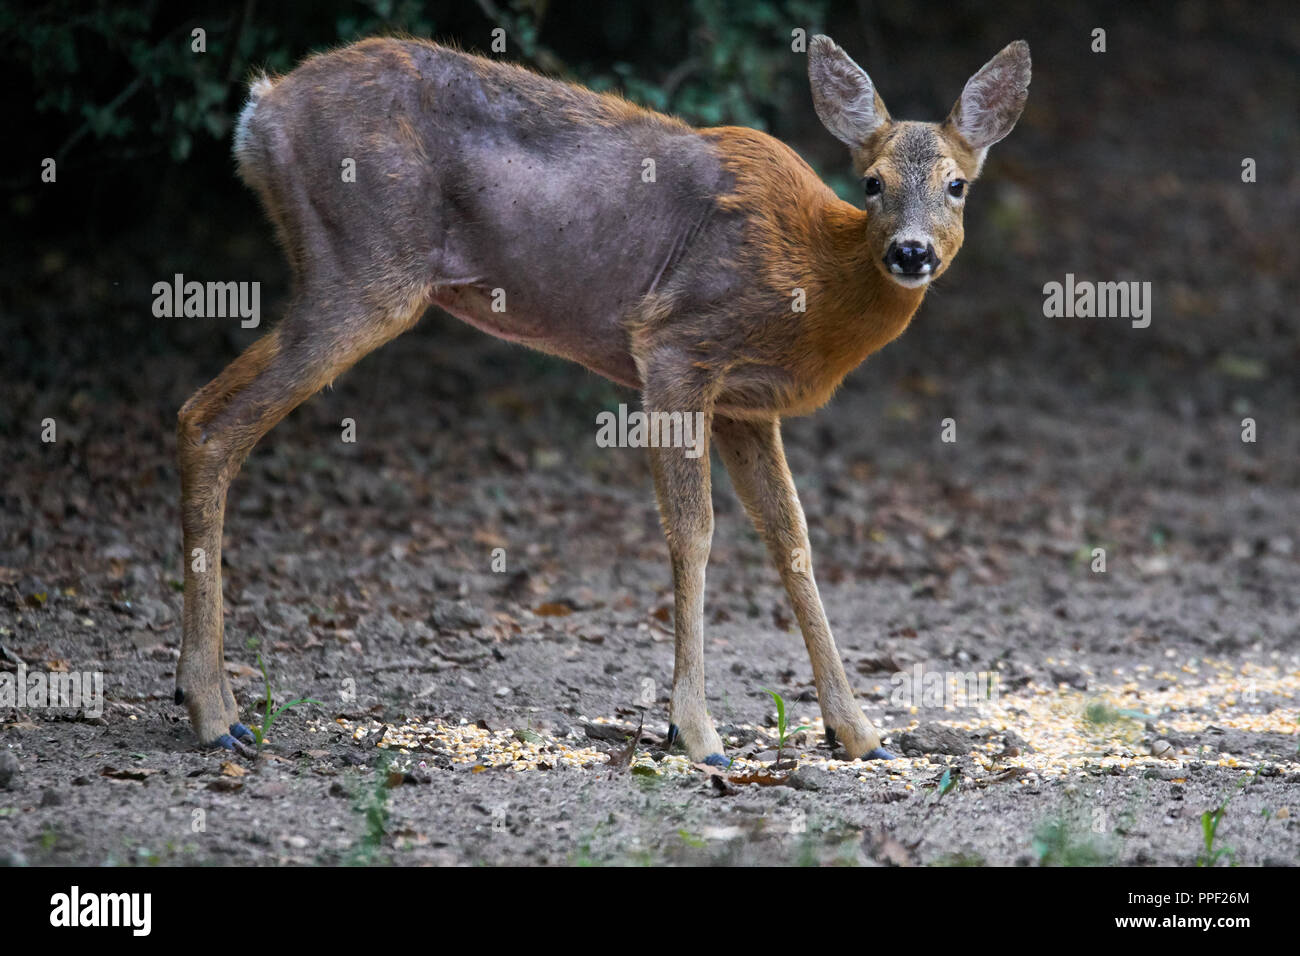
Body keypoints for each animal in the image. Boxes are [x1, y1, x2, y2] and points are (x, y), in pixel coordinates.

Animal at [175, 33, 1024, 764]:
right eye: (873, 183)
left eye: (957, 185)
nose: (910, 251)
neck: (814, 277)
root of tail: (261, 112)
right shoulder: (676, 349)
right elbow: (694, 533)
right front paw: (696, 732)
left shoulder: (748, 406)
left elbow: (792, 539)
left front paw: (859, 733)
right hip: (365, 266)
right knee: (210, 420)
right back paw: (219, 717)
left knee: (198, 415)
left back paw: (199, 697)